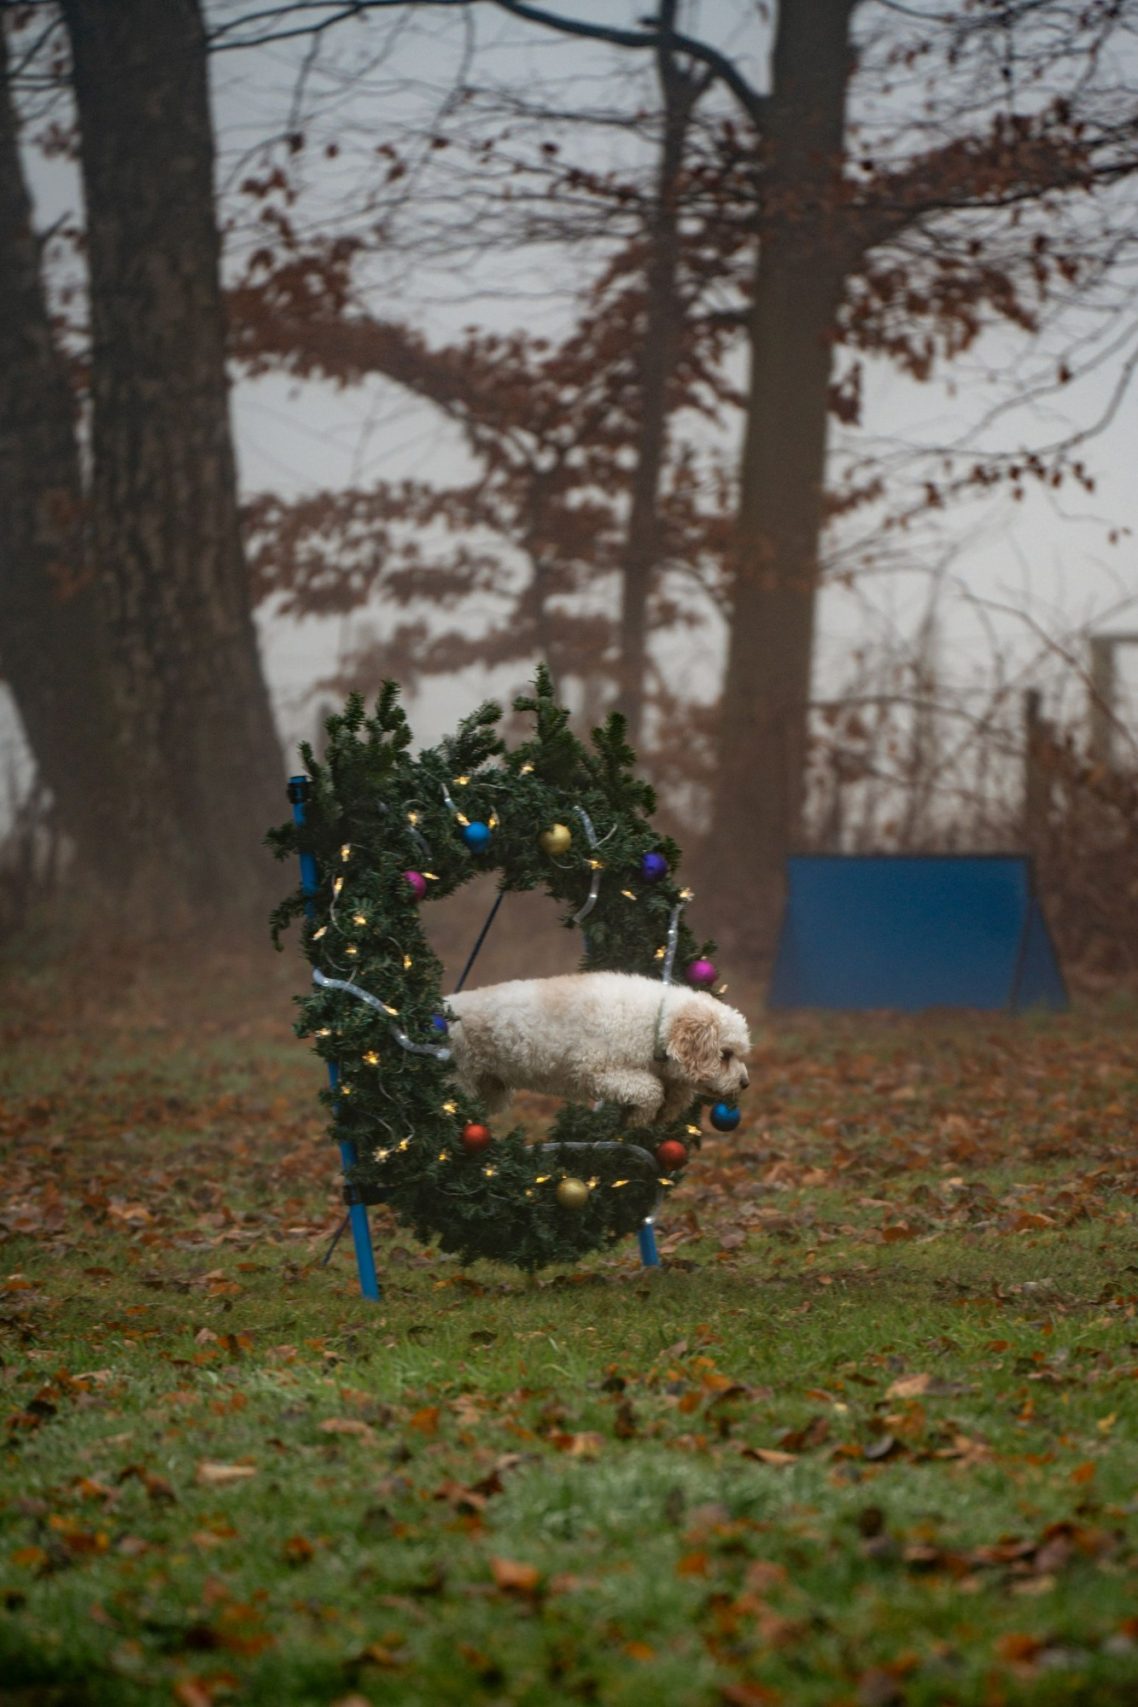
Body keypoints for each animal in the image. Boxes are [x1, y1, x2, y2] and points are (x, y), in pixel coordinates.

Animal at [446, 971, 750, 1127]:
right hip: (461, 1080)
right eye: (725, 1054)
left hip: (490, 1089)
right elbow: (651, 1089)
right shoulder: (597, 1071)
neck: (655, 1021)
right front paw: (639, 1117)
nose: (745, 1083)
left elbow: (672, 1092)